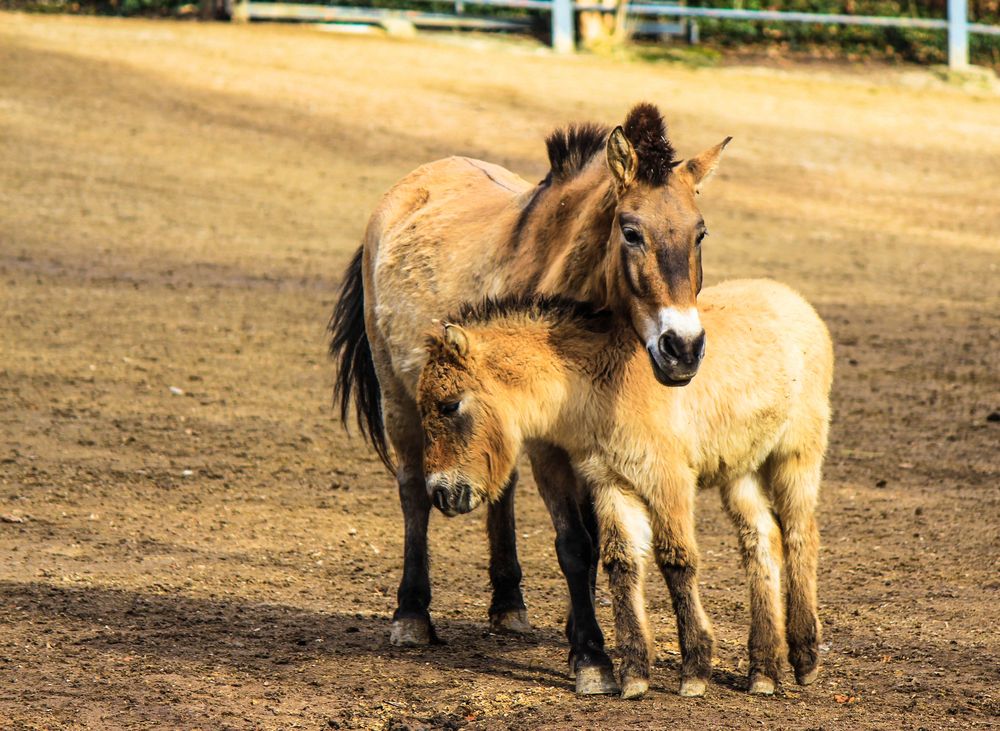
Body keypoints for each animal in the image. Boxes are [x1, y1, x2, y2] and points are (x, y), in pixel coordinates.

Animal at [332, 101, 732, 692]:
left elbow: (595, 537)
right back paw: (411, 614)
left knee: (499, 488)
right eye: (631, 231)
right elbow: (575, 544)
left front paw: (578, 634)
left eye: (700, 233)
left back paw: (508, 602)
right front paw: (590, 658)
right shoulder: (551, 447)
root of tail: (403, 193)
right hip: (398, 401)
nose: (682, 347)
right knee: (412, 493)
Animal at [418, 278, 832, 696]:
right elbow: (621, 562)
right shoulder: (612, 483)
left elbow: (677, 561)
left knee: (800, 536)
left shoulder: (668, 480)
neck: (602, 382)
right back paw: (763, 669)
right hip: (741, 472)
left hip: (795, 456)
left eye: (450, 405)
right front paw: (633, 672)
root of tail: (792, 299)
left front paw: (695, 670)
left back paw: (805, 656)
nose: (440, 493)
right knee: (762, 541)